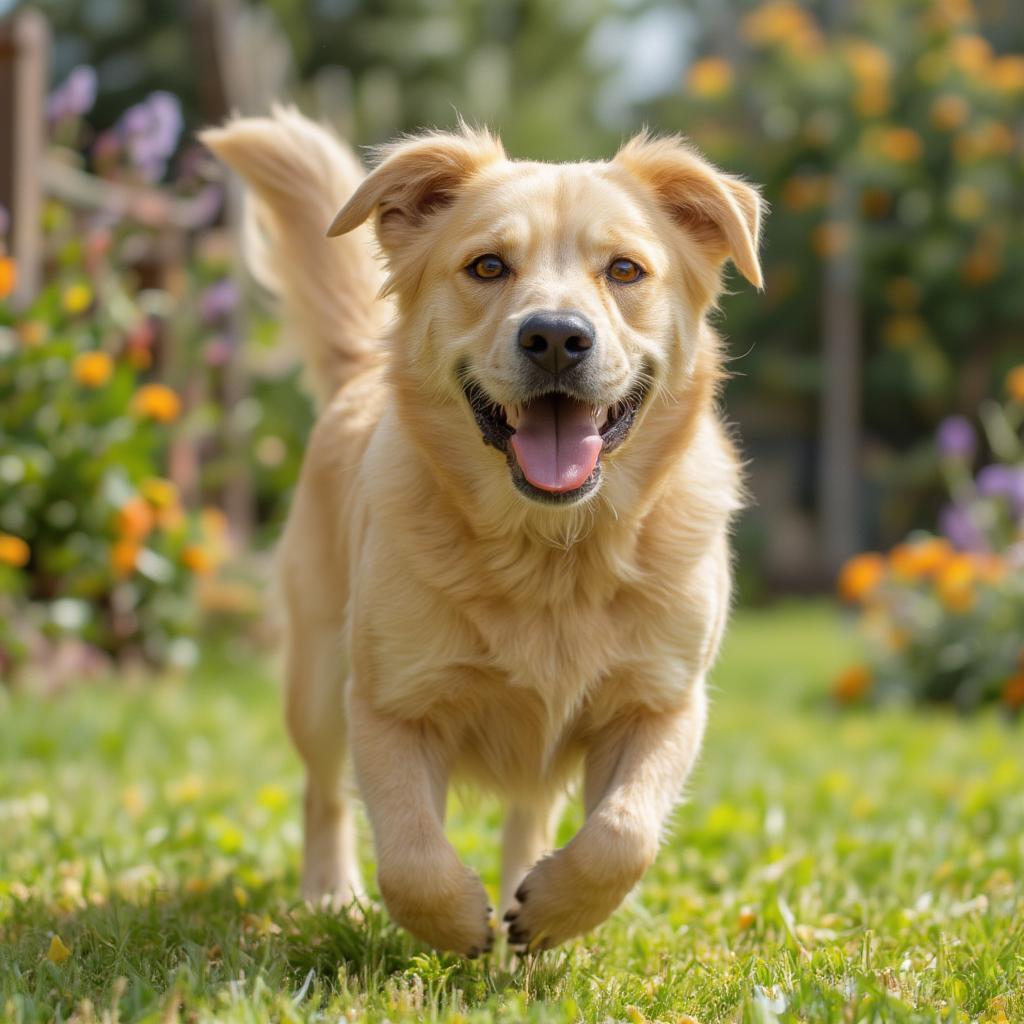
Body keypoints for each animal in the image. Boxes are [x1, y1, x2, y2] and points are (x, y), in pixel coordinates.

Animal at [199, 108, 761, 954]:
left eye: (625, 270)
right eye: (488, 266)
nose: (556, 336)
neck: (551, 551)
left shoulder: (663, 704)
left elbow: (622, 836)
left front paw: (554, 911)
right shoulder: (389, 703)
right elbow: (410, 856)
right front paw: (458, 921)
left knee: (534, 813)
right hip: (317, 679)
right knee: (322, 794)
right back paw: (331, 895)